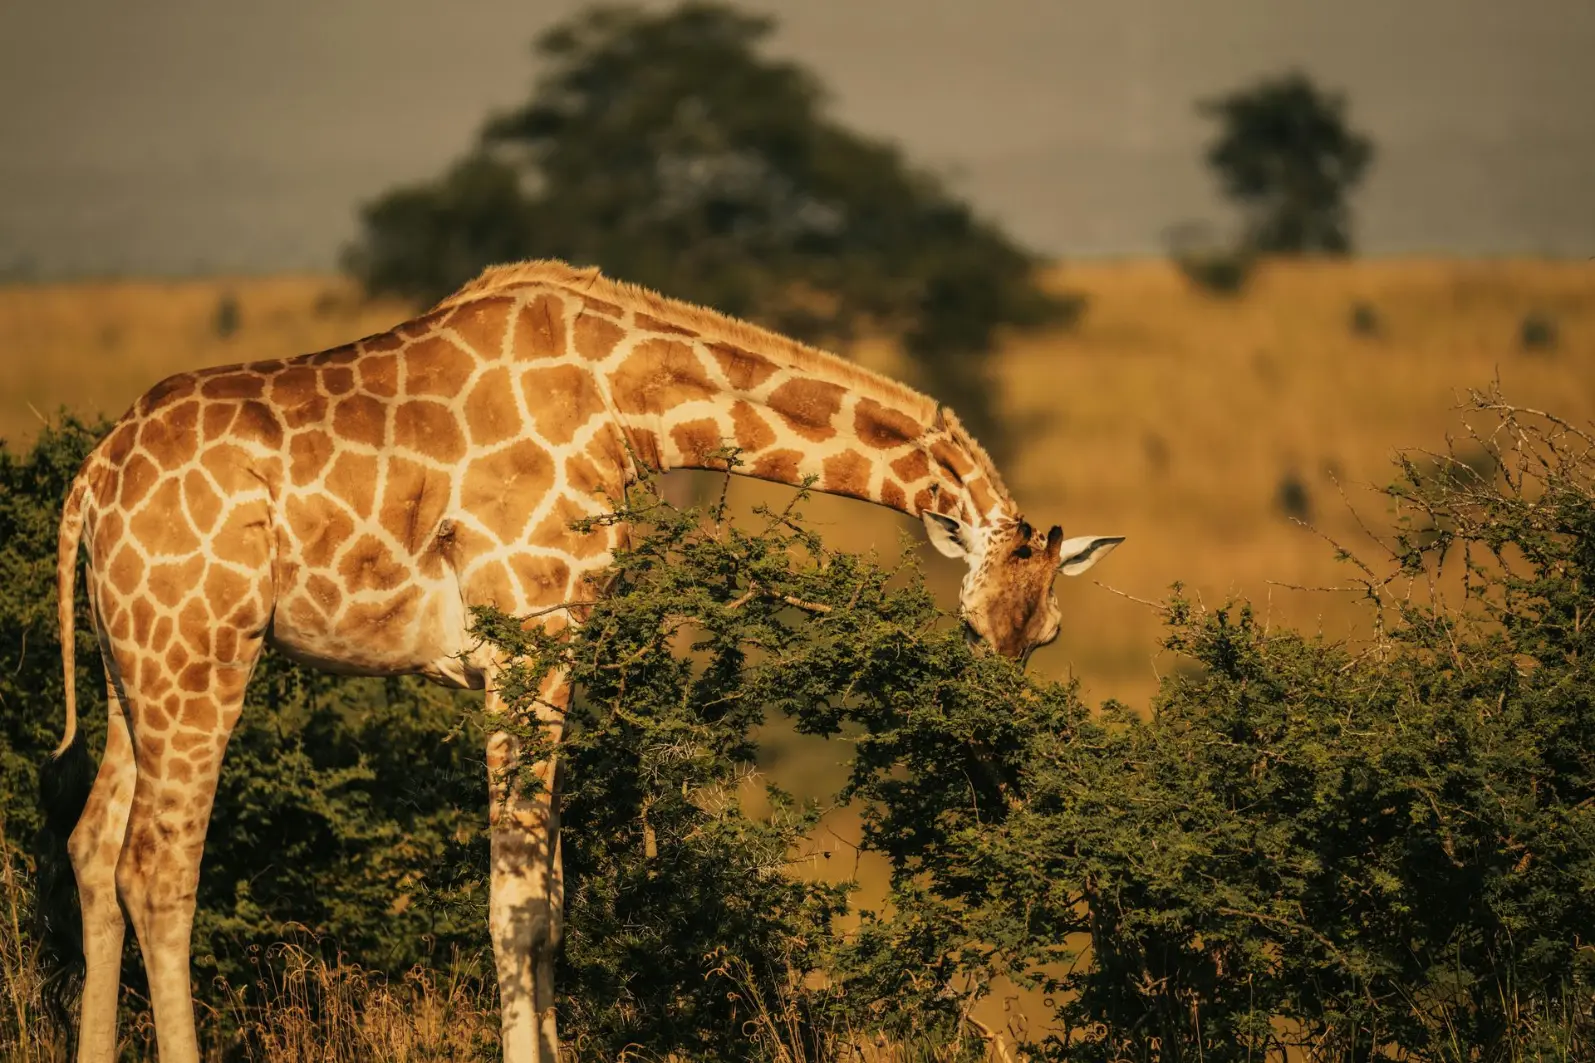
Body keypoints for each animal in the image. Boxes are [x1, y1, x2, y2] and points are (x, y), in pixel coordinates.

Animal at [46, 259, 1123, 1063]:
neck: (627, 402)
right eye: (973, 626)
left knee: (94, 846)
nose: (991, 752)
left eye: (1044, 637)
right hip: (200, 651)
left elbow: (555, 899)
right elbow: (517, 901)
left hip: (132, 660)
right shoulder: (531, 634)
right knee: (157, 867)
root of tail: (91, 482)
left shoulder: (558, 648)